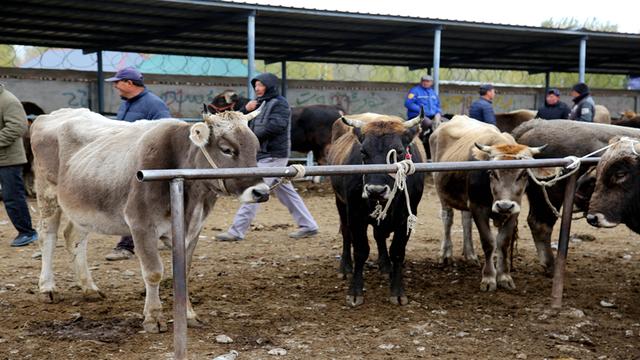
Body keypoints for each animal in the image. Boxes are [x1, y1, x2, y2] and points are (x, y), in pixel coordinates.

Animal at [31, 107, 270, 334]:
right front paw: (153, 318)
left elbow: (183, 273)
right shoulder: (140, 223)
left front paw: (189, 315)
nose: (261, 192)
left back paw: (89, 288)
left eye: (255, 149)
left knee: (73, 238)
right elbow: (153, 272)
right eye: (226, 149)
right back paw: (47, 288)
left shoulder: (192, 229)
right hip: (47, 193)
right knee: (47, 236)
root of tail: (52, 115)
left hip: (83, 207)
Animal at [330, 111, 424, 306]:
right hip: (340, 203)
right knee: (346, 234)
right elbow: (360, 250)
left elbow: (397, 252)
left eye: (399, 151)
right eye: (363, 152)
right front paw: (355, 291)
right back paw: (345, 267)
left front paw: (397, 292)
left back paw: (385, 265)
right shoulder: (355, 215)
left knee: (379, 236)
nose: (376, 190)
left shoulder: (407, 217)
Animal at [430, 116, 544, 292]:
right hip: (442, 192)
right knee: (447, 218)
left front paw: (504, 277)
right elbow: (489, 243)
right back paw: (445, 255)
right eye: (492, 172)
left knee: (466, 220)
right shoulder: (478, 207)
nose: (504, 206)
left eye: (524, 173)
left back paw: (470, 255)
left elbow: (503, 243)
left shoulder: (515, 211)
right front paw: (489, 278)